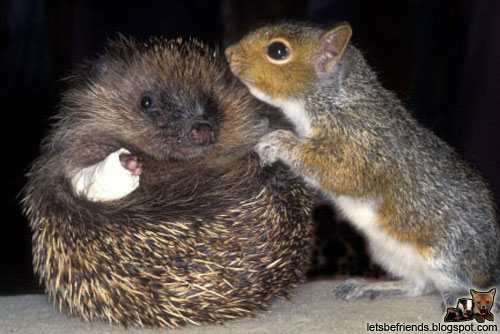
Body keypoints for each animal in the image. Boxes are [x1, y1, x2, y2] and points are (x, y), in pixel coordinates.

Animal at [227, 21, 500, 308]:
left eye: (278, 51)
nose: (228, 53)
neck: (333, 100)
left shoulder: (364, 147)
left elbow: (338, 172)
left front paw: (279, 142)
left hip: (447, 255)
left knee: (466, 285)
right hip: (390, 254)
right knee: (420, 286)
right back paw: (370, 287)